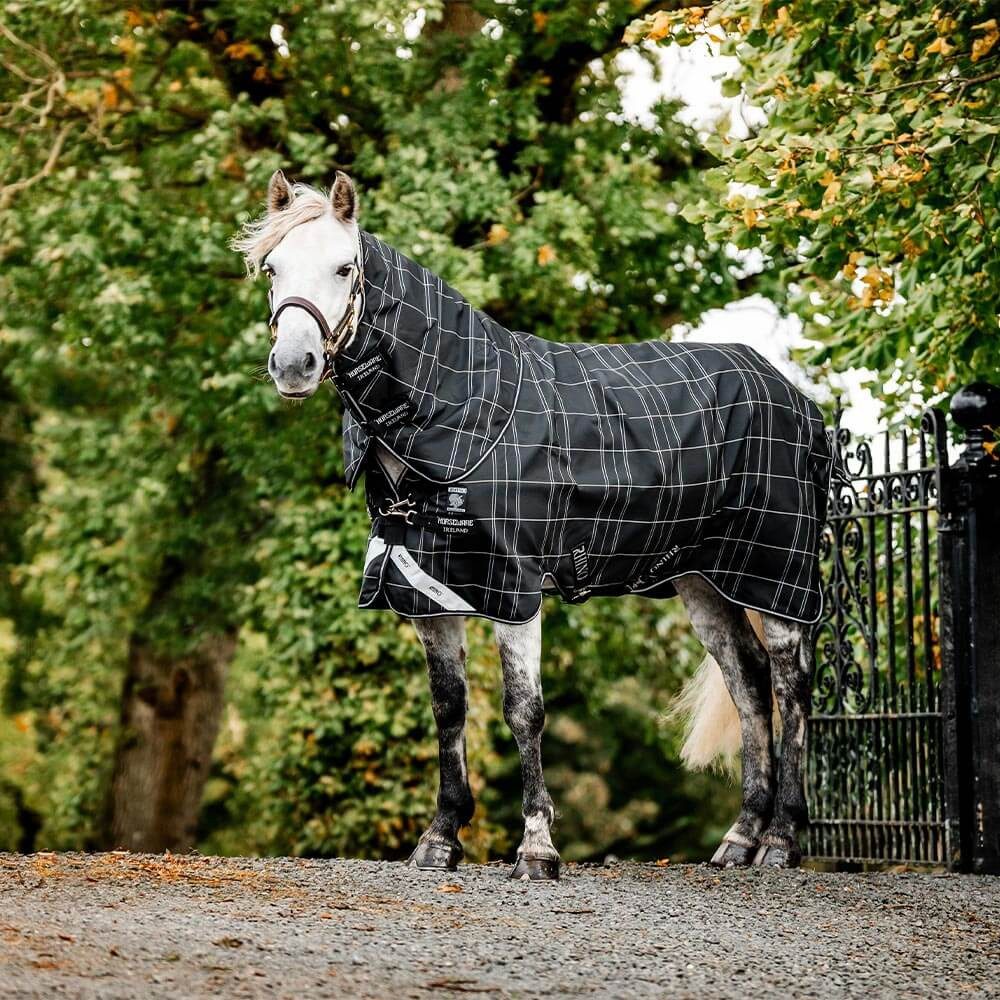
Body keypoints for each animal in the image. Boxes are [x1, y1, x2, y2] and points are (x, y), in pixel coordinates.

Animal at [233, 170, 832, 880]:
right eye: (272, 268)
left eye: (344, 267)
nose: (293, 364)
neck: (461, 408)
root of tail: (794, 397)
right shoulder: (430, 591)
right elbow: (449, 710)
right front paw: (440, 839)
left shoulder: (513, 589)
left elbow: (524, 711)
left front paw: (537, 848)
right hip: (705, 581)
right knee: (749, 684)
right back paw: (739, 840)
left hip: (776, 572)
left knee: (792, 686)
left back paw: (781, 841)